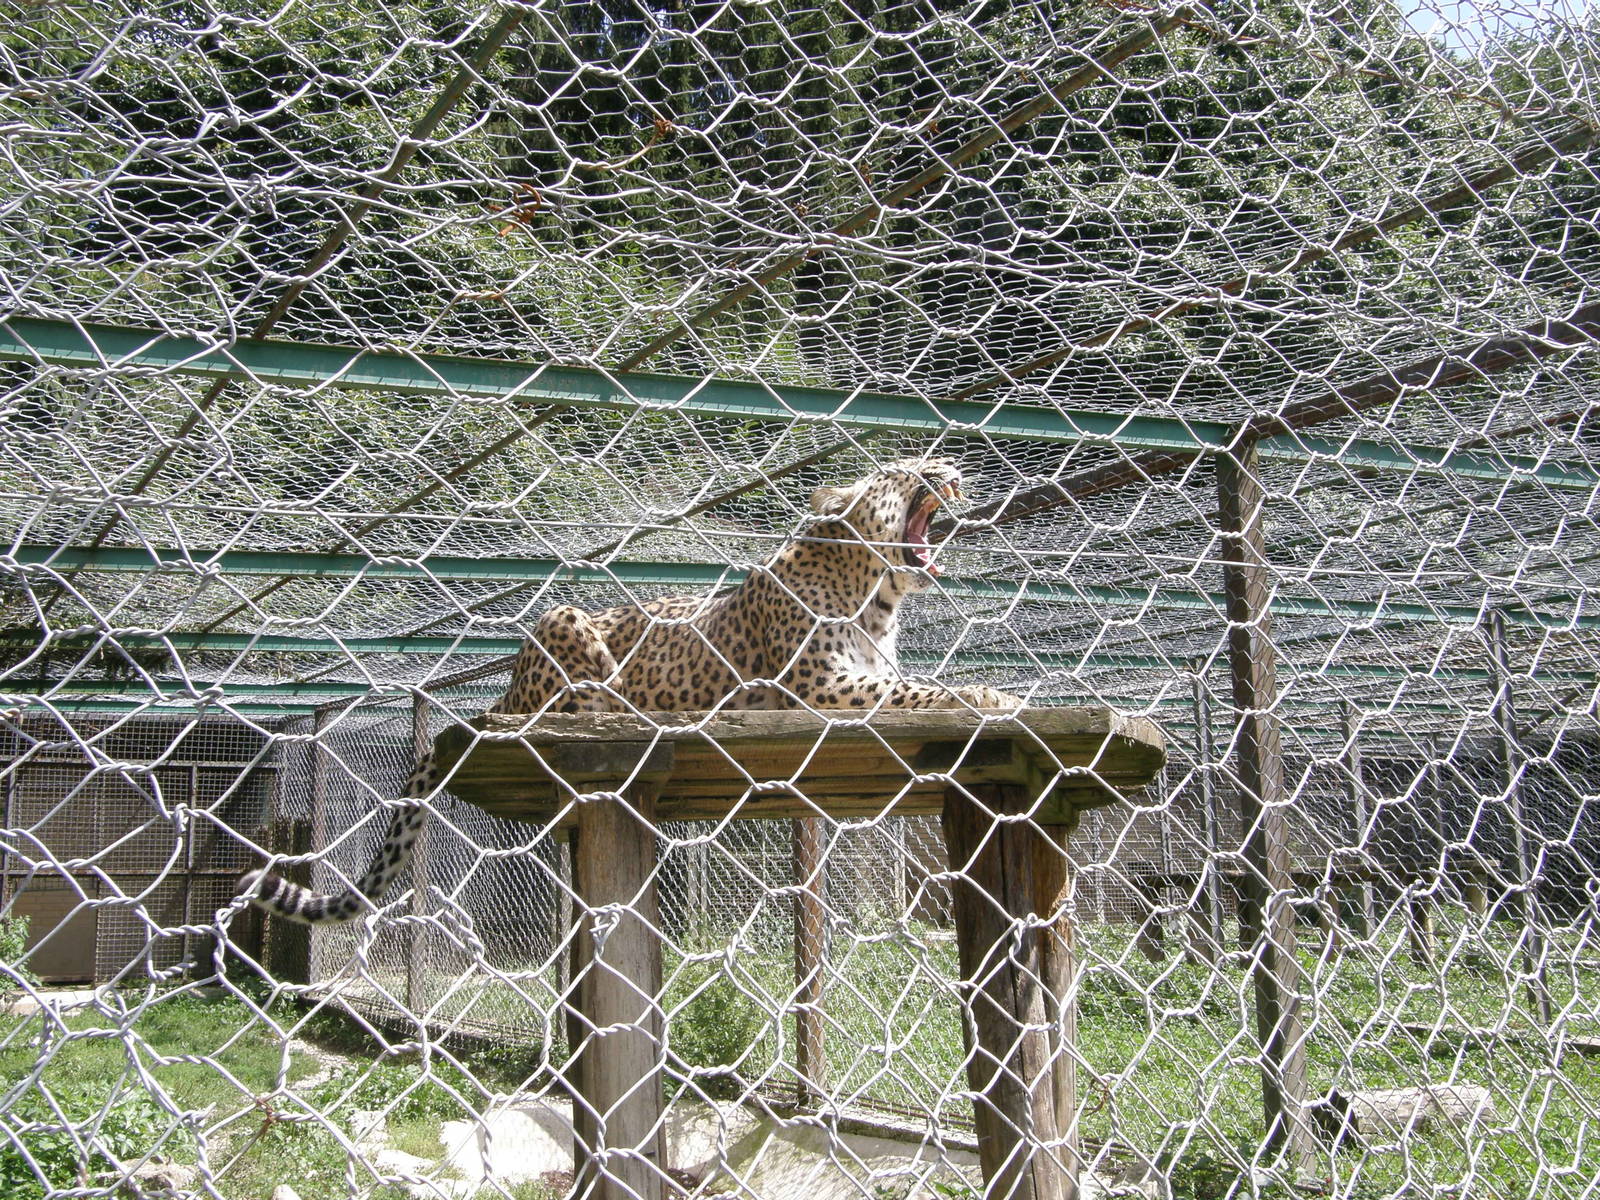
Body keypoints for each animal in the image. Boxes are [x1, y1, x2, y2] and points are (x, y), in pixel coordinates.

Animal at [239, 457, 1021, 924]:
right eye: (906, 471)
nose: (953, 467)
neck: (875, 597)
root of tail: (506, 686)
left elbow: (912, 682)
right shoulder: (823, 689)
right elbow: (920, 690)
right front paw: (996, 697)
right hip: (564, 620)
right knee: (573, 706)